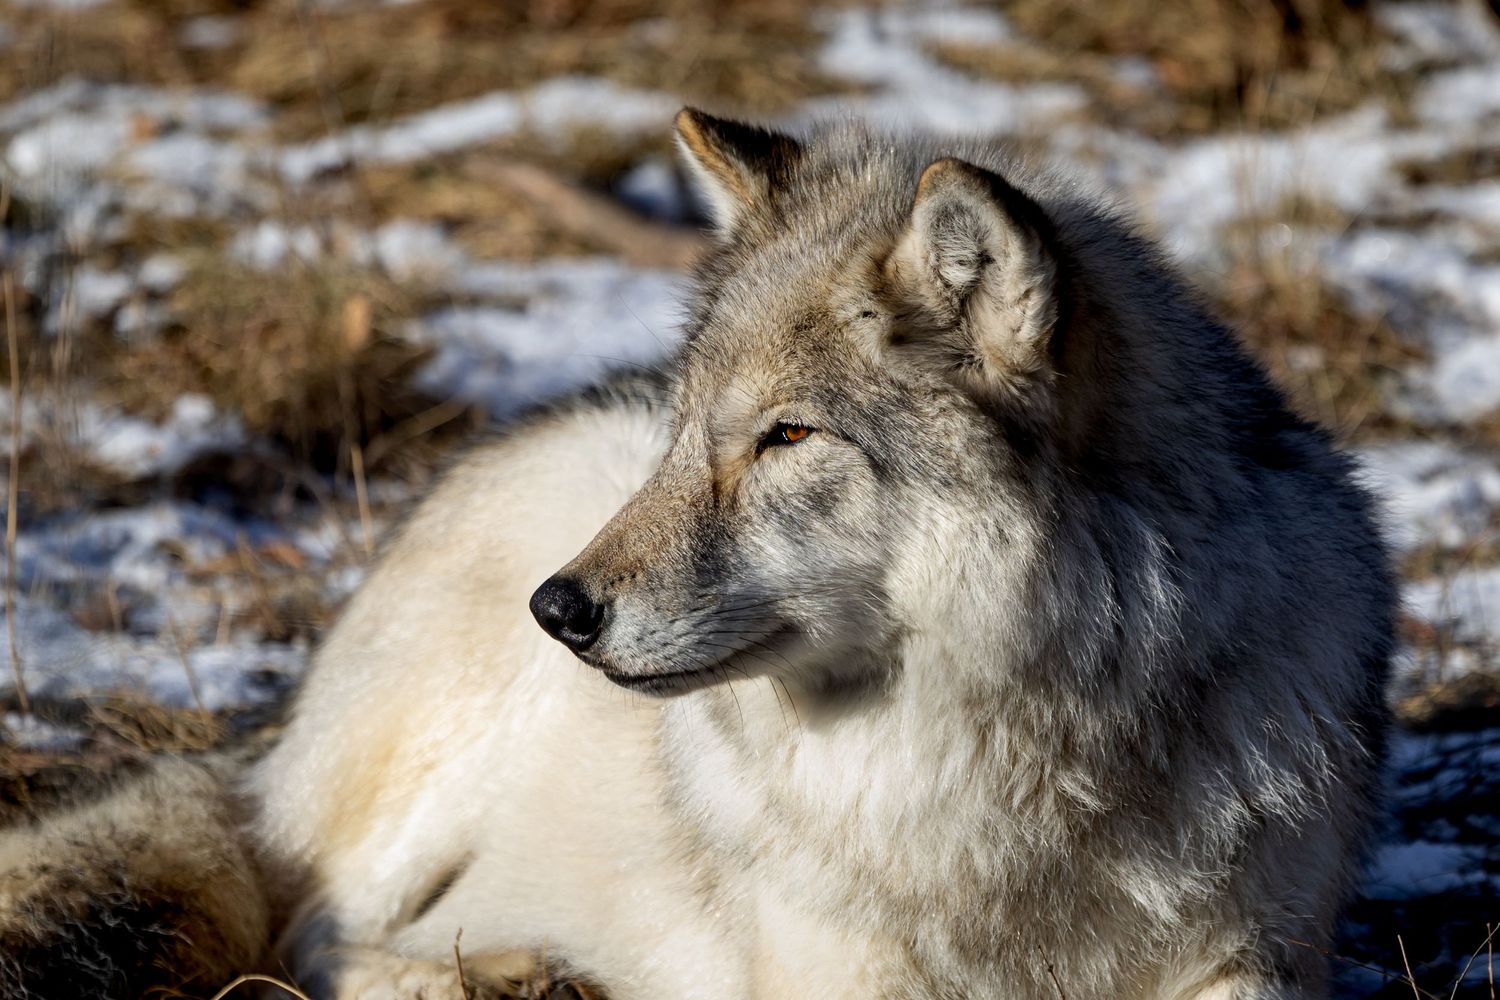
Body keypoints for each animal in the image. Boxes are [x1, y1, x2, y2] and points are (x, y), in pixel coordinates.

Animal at [1, 111, 1393, 1000]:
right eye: (689, 436)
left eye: (786, 436)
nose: (558, 609)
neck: (1003, 766)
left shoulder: (1253, 956)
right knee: (306, 929)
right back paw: (506, 982)